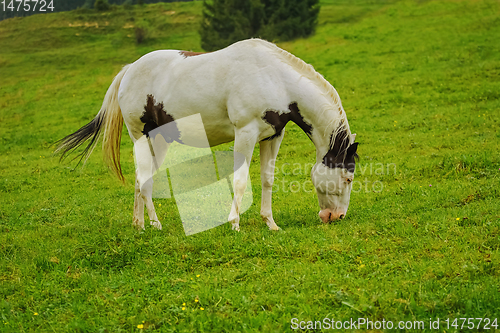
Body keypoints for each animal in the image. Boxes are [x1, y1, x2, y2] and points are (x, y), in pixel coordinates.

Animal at [56, 38, 358, 231]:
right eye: (348, 178)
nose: (337, 216)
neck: (273, 77)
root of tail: (129, 69)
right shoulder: (245, 133)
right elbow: (240, 181)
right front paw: (234, 223)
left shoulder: (272, 137)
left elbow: (267, 180)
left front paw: (270, 224)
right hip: (141, 137)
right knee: (143, 181)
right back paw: (155, 224)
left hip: (158, 141)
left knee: (142, 180)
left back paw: (139, 225)